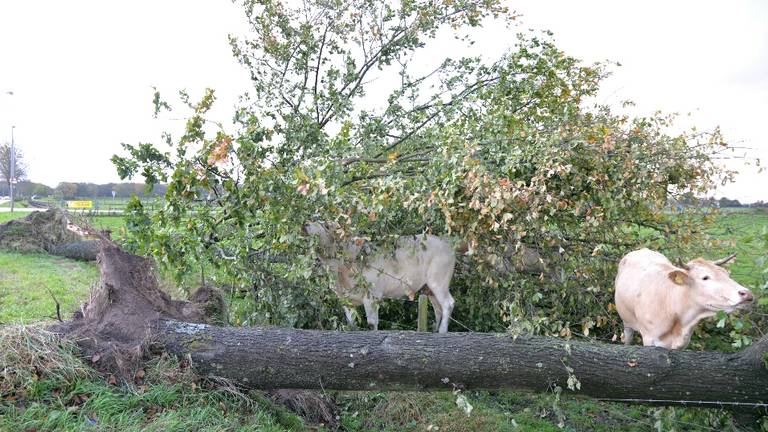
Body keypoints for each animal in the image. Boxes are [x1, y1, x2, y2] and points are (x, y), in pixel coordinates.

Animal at [304, 221, 456, 332]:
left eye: (327, 225)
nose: (305, 223)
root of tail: (447, 245)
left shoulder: (372, 294)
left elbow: (372, 323)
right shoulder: (345, 299)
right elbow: (351, 322)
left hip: (439, 279)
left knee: (448, 303)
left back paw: (442, 331)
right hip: (428, 288)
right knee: (438, 308)